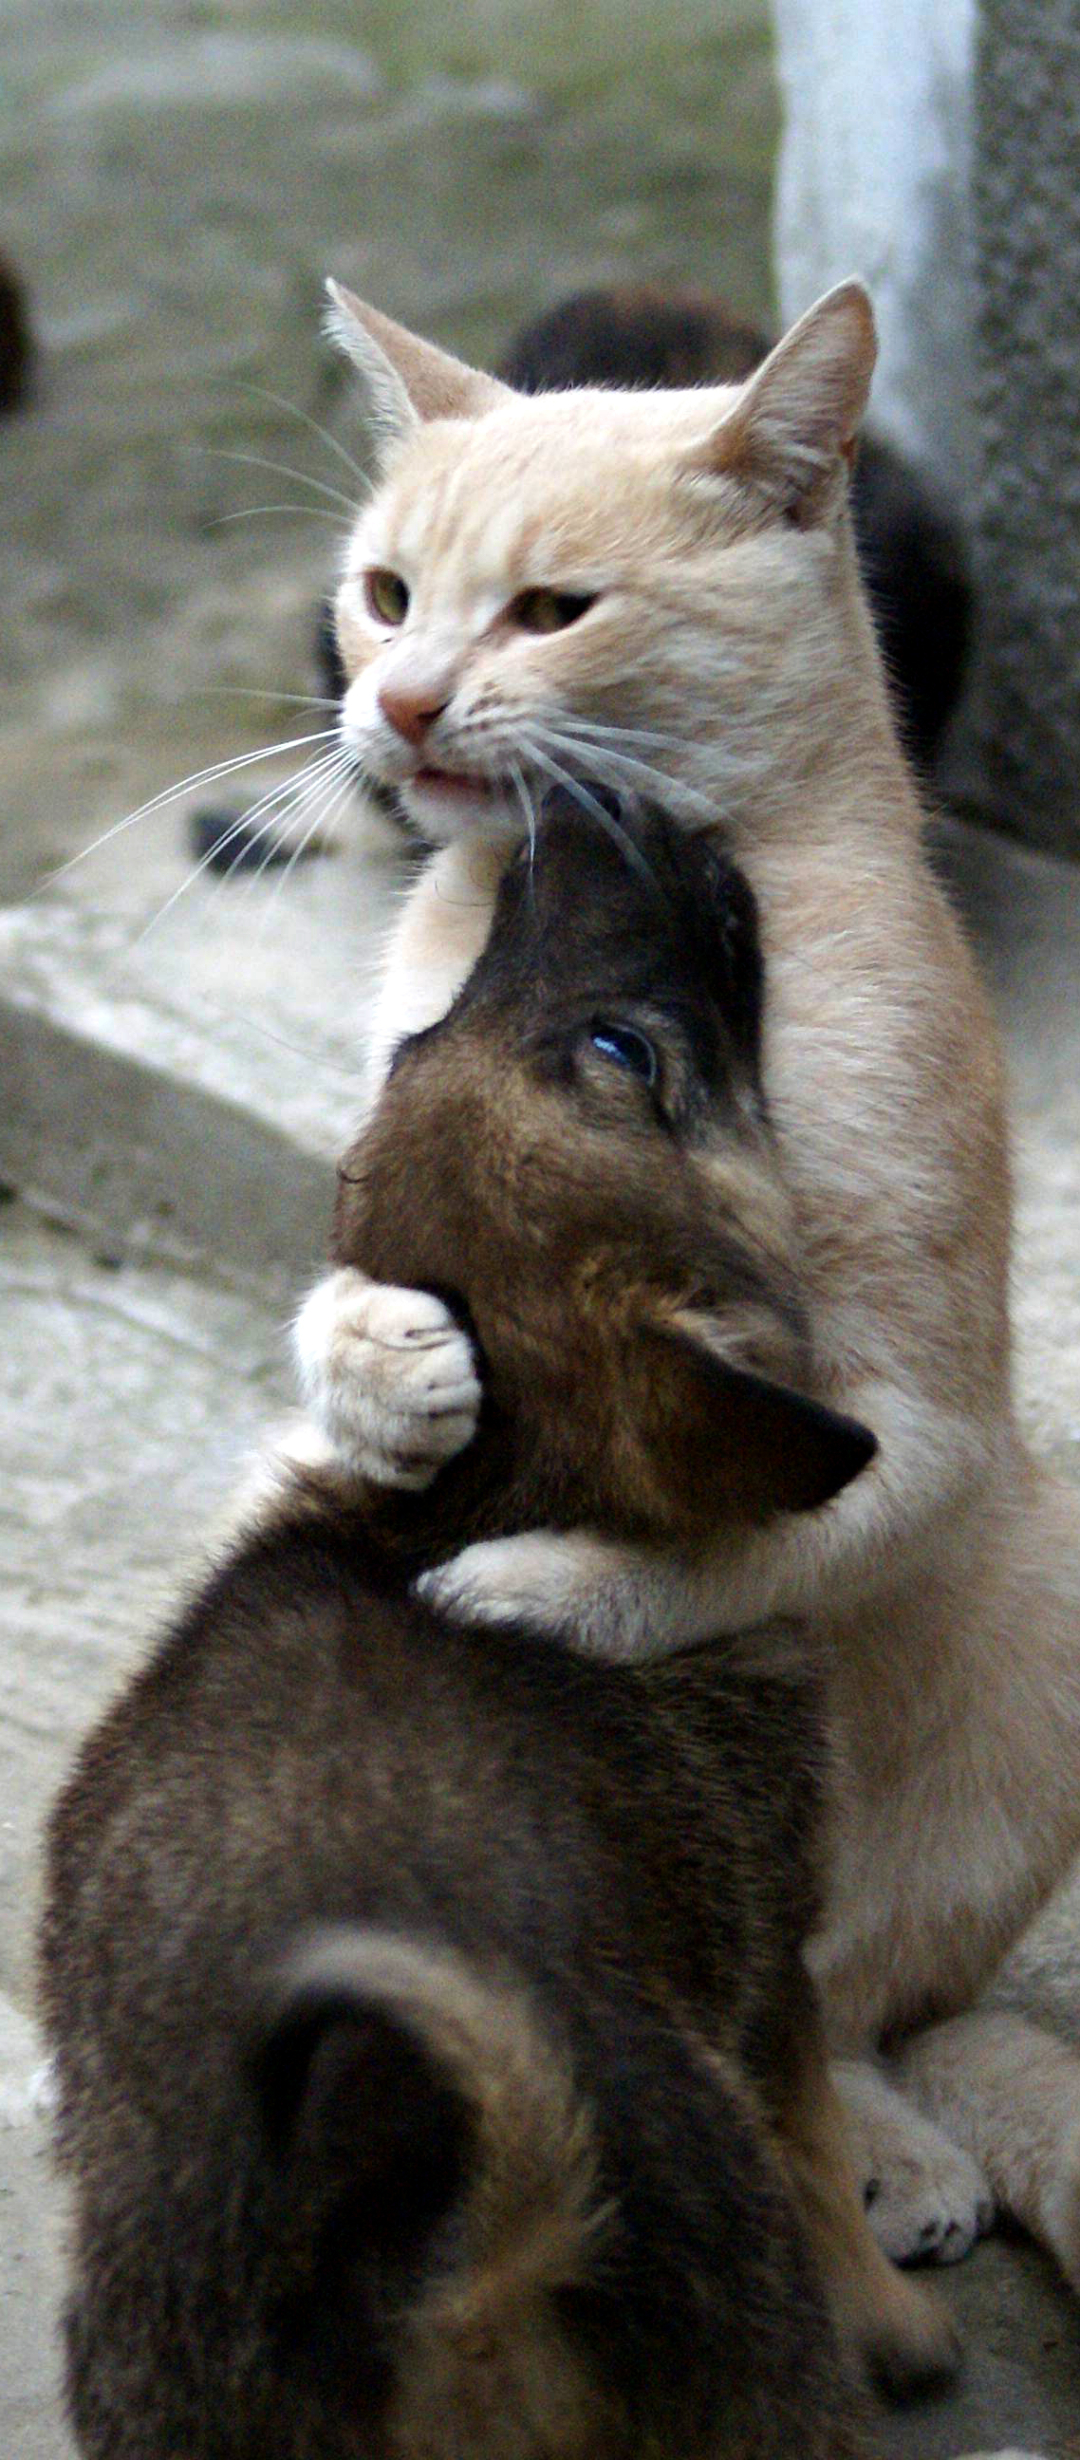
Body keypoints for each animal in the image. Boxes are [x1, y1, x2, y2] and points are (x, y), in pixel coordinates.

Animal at [44, 806, 964, 2460]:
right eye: (626, 1051)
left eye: (417, 1041)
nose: (605, 817)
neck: (478, 1494)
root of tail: (448, 2267)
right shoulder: (777, 1957)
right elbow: (815, 2134)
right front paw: (900, 2326)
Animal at [285, 279, 1080, 2292]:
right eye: (386, 593)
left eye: (552, 611)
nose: (396, 703)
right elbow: (340, 1292)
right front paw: (386, 1372)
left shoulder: (919, 1420)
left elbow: (729, 1537)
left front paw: (545, 1590)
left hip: (1044, 1612)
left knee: (850, 2004)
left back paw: (890, 2152)